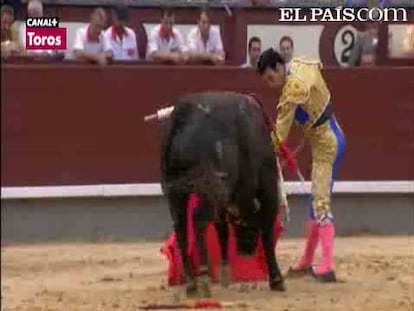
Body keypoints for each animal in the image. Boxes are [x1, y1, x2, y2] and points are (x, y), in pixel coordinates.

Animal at [158, 91, 284, 296]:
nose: (246, 250)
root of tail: (184, 112)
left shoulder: (224, 200)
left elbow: (221, 229)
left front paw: (225, 272)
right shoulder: (268, 190)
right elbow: (266, 230)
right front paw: (277, 279)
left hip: (175, 190)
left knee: (181, 227)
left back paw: (192, 282)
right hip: (209, 185)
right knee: (198, 219)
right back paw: (202, 273)